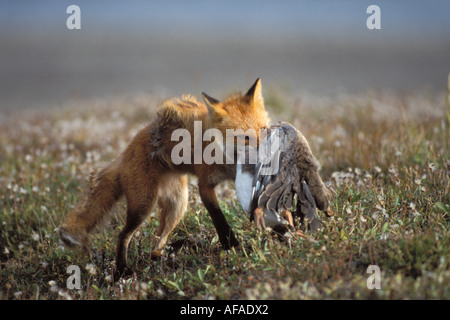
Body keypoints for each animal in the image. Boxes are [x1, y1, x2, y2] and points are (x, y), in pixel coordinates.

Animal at [58, 79, 272, 274]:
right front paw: (232, 247)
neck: (228, 162)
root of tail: (124, 154)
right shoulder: (205, 185)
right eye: (244, 137)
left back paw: (171, 253)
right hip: (144, 205)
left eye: (263, 129)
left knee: (155, 247)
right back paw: (123, 271)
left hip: (177, 205)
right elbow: (220, 220)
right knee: (123, 235)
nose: (267, 153)